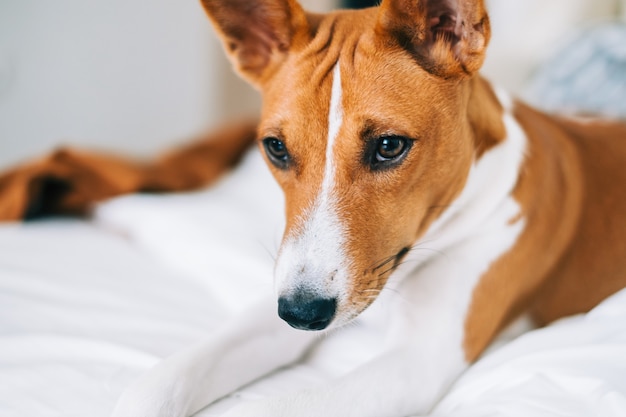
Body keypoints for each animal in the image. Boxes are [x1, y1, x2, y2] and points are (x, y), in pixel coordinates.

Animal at [109, 0, 624, 416]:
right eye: (276, 148)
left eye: (389, 146)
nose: (301, 313)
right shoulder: (276, 307)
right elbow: (156, 384)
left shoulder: (417, 359)